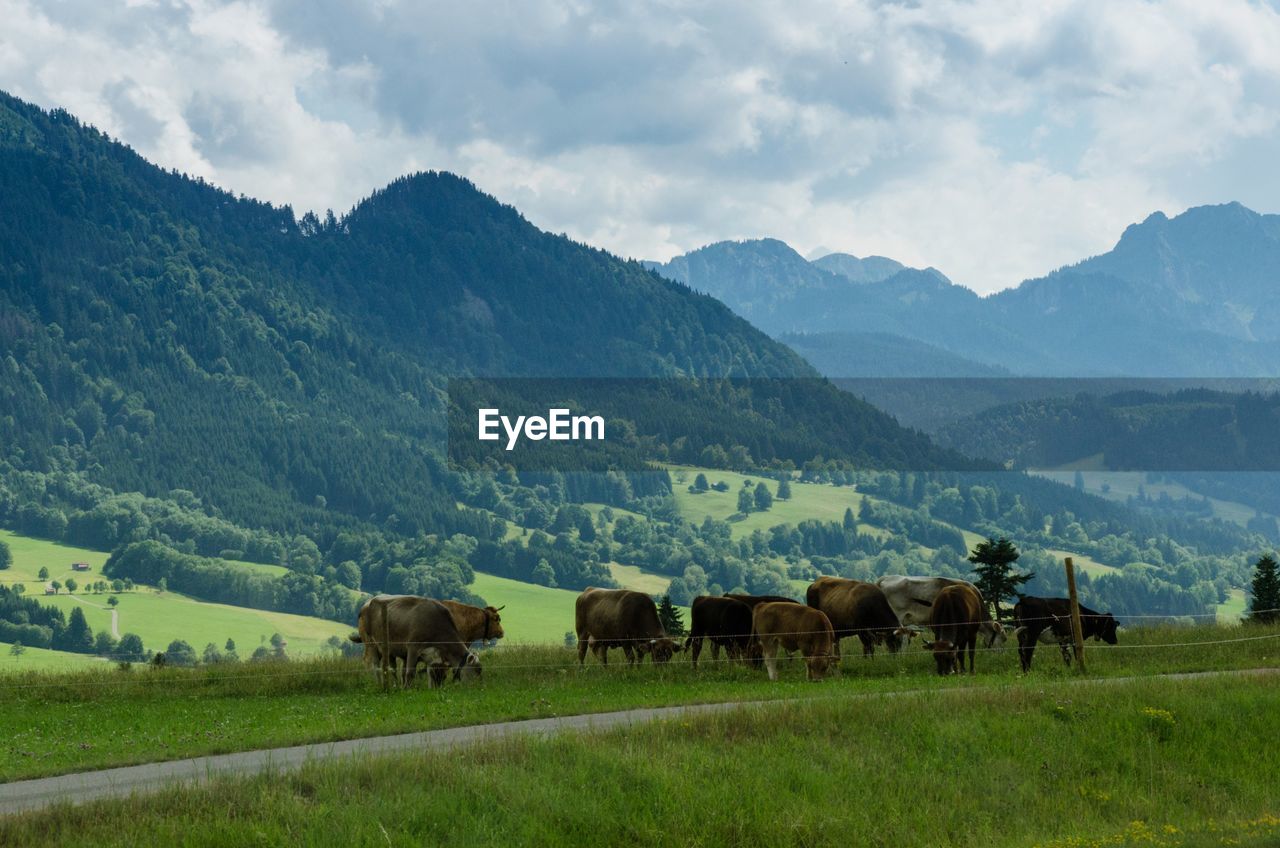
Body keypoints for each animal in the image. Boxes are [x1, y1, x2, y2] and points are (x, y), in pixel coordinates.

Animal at [350, 596, 481, 691]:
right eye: (476, 671)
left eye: (444, 676)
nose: (479, 688)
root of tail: (367, 603)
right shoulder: (413, 647)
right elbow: (410, 673)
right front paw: (407, 690)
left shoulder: (432, 656)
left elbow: (428, 672)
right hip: (371, 643)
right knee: (375, 665)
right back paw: (380, 684)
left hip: (388, 650)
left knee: (392, 668)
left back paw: (395, 685)